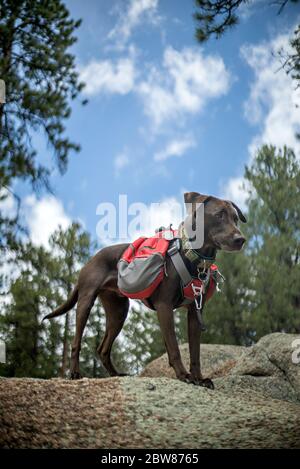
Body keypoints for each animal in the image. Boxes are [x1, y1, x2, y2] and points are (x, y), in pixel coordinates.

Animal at [44, 192, 246, 386]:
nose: (241, 239)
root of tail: (91, 259)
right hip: (86, 301)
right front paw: (184, 375)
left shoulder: (195, 312)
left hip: (118, 311)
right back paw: (75, 373)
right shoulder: (164, 306)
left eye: (236, 218)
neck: (192, 256)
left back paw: (116, 374)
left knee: (103, 349)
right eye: (219, 215)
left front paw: (199, 378)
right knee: (76, 341)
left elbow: (195, 352)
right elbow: (174, 347)